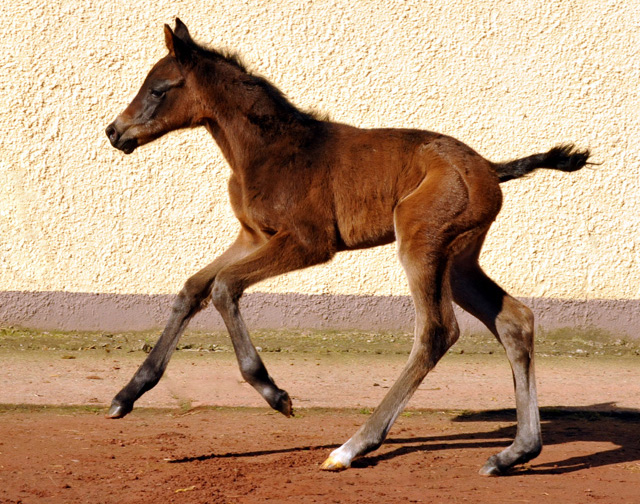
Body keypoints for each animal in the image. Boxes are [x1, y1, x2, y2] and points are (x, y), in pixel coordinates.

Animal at [105, 20, 592, 476]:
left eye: (159, 89)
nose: (114, 132)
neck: (271, 150)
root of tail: (490, 167)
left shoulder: (308, 242)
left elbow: (224, 287)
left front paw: (274, 393)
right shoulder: (254, 236)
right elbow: (193, 288)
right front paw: (128, 394)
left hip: (422, 245)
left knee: (437, 331)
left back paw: (352, 447)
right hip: (458, 261)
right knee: (514, 320)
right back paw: (514, 453)